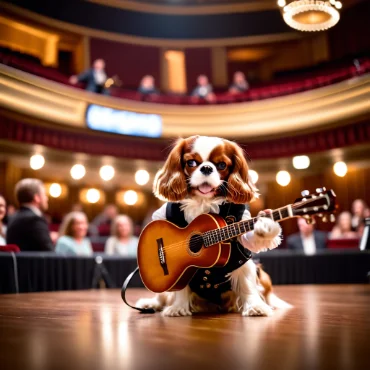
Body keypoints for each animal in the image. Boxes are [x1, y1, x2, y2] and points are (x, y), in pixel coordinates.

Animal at [137, 137, 290, 316]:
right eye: (191, 162)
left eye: (222, 165)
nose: (207, 168)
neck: (203, 202)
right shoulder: (162, 217)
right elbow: (180, 290)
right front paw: (178, 308)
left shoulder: (242, 239)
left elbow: (247, 281)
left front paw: (255, 306)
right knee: (162, 296)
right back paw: (150, 304)